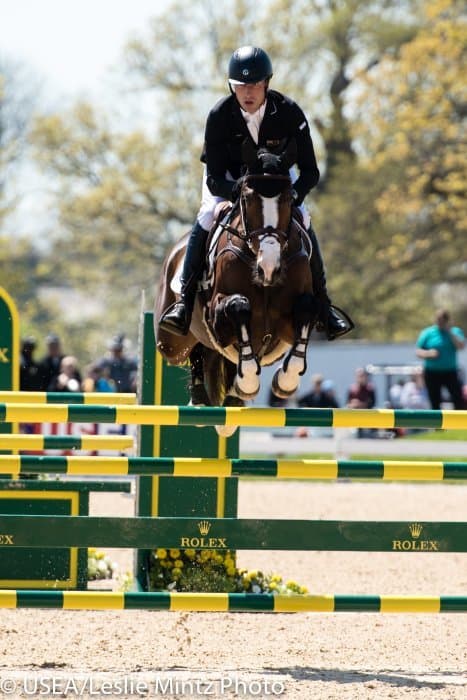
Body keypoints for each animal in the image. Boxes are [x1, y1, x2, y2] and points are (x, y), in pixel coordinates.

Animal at [155, 139, 319, 436]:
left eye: (289, 199)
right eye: (246, 199)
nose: (269, 267)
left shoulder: (289, 323)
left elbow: (307, 307)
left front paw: (284, 381)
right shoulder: (218, 317)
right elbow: (239, 306)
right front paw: (248, 382)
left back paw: (233, 400)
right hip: (170, 343)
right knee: (194, 349)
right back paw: (202, 401)